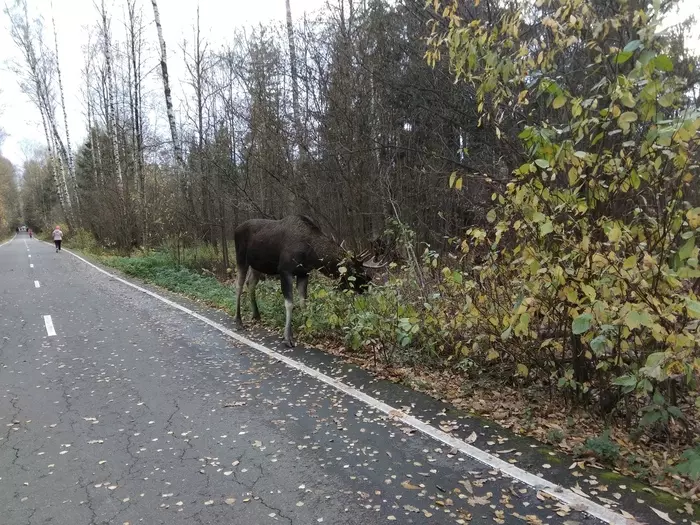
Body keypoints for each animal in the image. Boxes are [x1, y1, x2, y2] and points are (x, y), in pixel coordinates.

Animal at [234, 215, 386, 346]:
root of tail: (235, 229)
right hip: (241, 258)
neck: (312, 254)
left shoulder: (303, 273)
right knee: (239, 285)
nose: (367, 286)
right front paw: (287, 337)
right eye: (356, 271)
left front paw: (306, 329)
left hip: (257, 265)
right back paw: (238, 320)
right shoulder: (285, 271)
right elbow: (289, 304)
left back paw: (256, 315)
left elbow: (304, 303)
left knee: (250, 283)